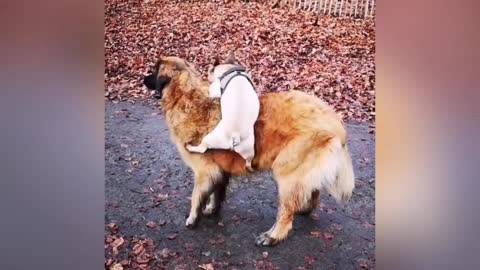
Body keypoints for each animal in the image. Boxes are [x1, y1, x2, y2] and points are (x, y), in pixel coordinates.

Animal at [141, 56, 354, 246]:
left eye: (153, 70)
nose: (142, 79)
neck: (186, 97)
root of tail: (336, 123)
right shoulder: (220, 171)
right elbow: (216, 194)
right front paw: (211, 209)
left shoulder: (204, 172)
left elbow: (196, 196)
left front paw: (193, 218)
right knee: (313, 192)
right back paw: (304, 208)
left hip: (287, 173)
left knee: (286, 214)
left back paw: (272, 236)